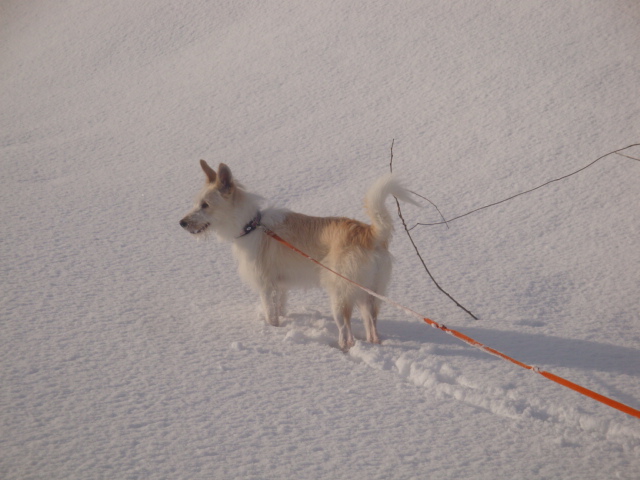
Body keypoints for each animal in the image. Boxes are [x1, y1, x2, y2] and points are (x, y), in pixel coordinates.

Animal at [180, 160, 416, 348]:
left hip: (340, 294)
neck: (252, 225)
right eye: (196, 203)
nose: (181, 223)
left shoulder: (266, 285)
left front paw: (272, 330)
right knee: (371, 325)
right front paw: (283, 323)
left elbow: (270, 313)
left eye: (205, 205)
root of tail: (370, 233)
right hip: (369, 294)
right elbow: (280, 307)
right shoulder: (280, 286)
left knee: (346, 330)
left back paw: (343, 347)